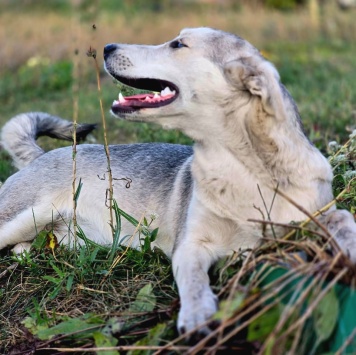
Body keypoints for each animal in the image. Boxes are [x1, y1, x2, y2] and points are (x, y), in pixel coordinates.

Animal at [0, 27, 356, 334]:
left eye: (178, 44)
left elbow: (342, 219)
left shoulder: (316, 214)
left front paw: (350, 248)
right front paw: (197, 314)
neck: (245, 172)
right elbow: (194, 281)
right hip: (22, 216)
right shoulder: (191, 245)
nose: (107, 47)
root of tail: (42, 154)